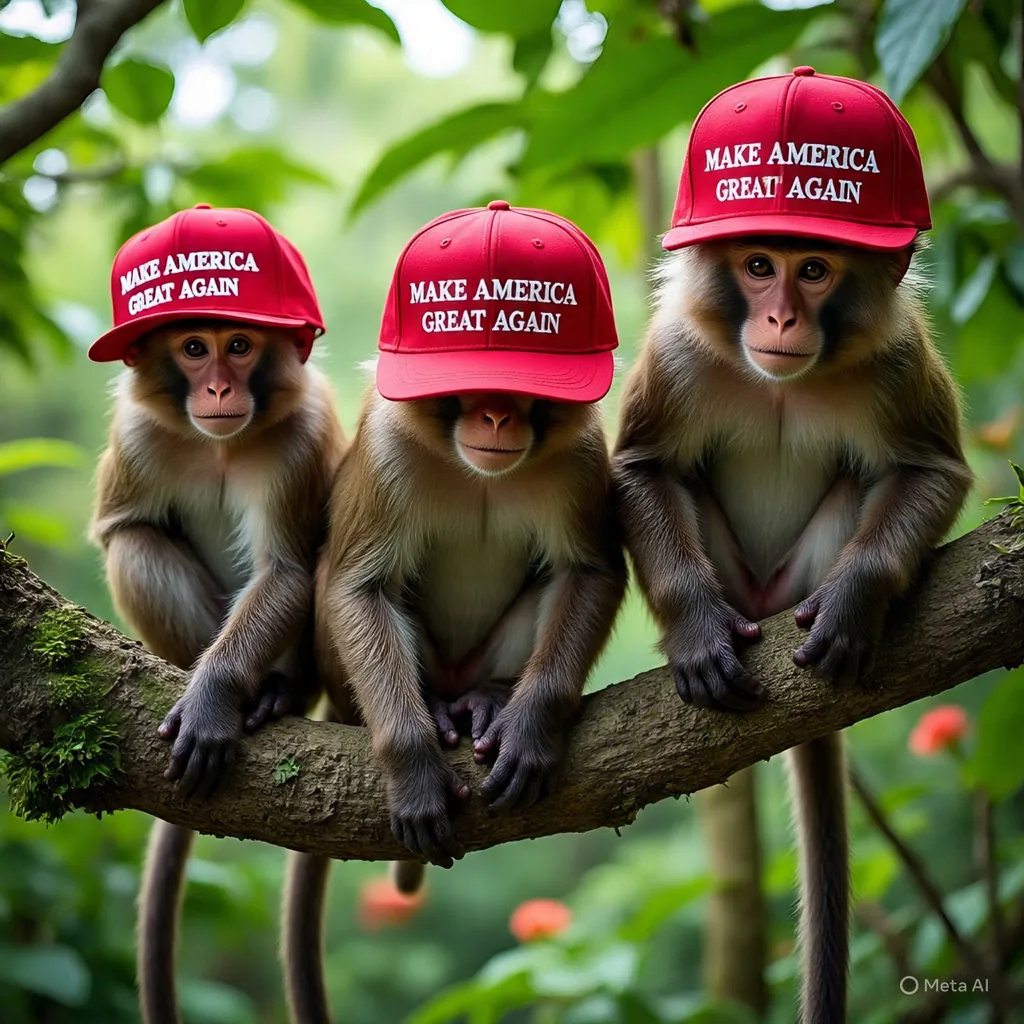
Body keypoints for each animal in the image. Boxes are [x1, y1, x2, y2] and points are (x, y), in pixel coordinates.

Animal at [89, 320, 345, 1024]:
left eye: (239, 345)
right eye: (193, 348)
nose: (219, 388)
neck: (220, 446)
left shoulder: (300, 438)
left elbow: (286, 570)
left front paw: (212, 702)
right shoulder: (136, 434)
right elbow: (122, 528)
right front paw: (205, 694)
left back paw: (274, 695)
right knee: (136, 543)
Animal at [280, 386, 627, 1024]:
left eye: (526, 398)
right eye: (468, 396)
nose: (497, 415)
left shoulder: (580, 459)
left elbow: (586, 571)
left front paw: (530, 728)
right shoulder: (386, 454)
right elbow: (360, 587)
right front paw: (415, 767)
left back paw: (489, 699)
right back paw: (438, 709)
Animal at [612, 237, 972, 1023]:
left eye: (813, 270)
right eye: (757, 266)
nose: (781, 316)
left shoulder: (897, 363)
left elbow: (931, 470)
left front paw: (854, 603)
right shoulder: (679, 357)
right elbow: (646, 468)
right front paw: (696, 634)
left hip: (790, 585)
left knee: (863, 481)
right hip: (740, 587)